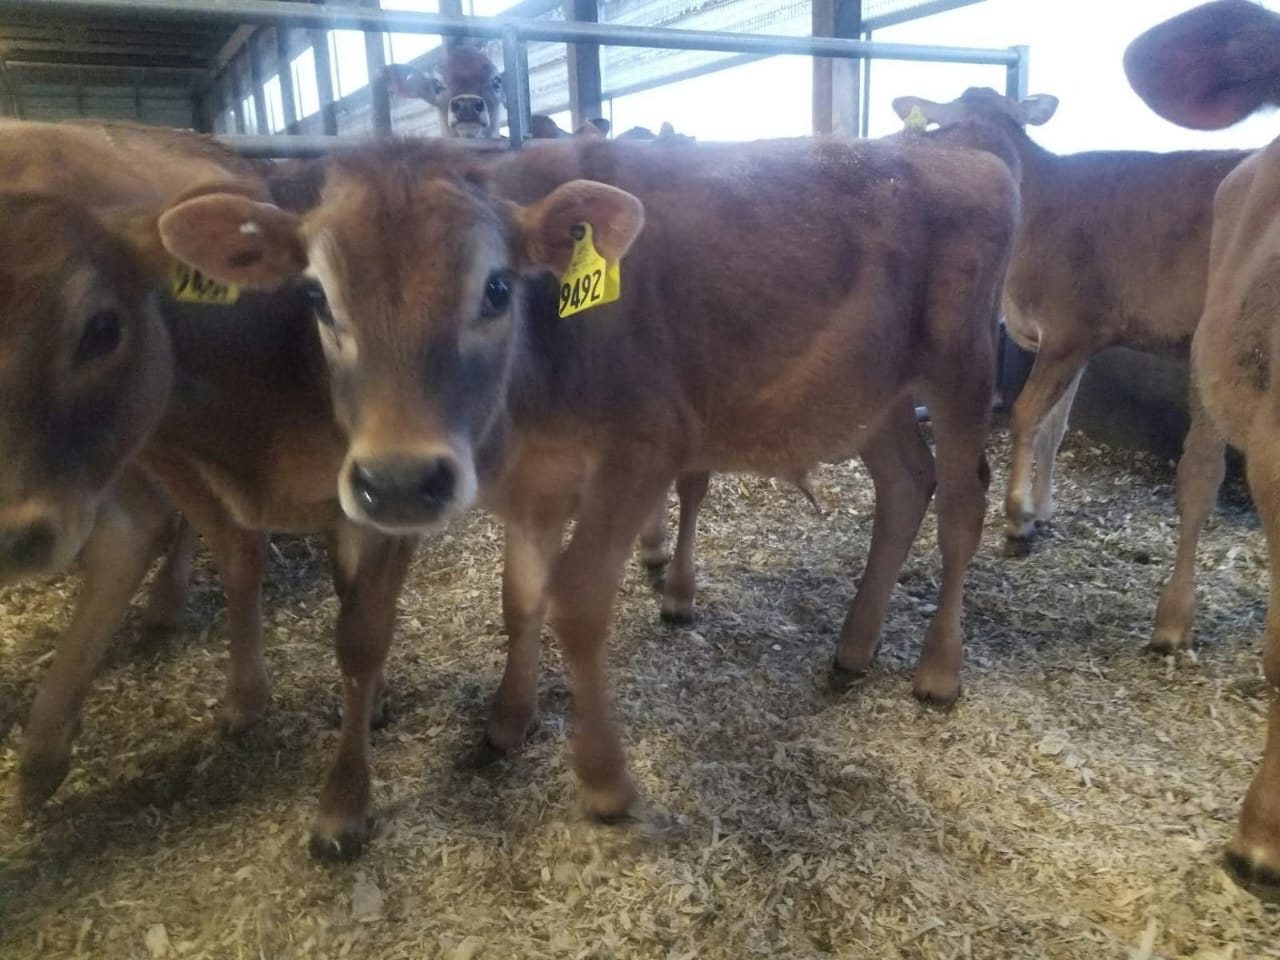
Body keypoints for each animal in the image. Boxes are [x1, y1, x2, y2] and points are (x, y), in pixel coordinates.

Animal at [0, 120, 428, 860]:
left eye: (101, 328)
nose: (12, 537)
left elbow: (361, 632)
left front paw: (344, 801)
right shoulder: (165, 446)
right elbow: (234, 557)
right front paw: (244, 697)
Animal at [157, 134, 1018, 821]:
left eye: (497, 288)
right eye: (315, 296)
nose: (398, 483)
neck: (532, 386)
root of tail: (963, 153)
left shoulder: (645, 449)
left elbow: (573, 600)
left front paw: (603, 779)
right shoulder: (531, 482)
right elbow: (520, 598)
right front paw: (508, 719)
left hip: (962, 365)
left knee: (962, 507)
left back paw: (938, 669)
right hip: (877, 391)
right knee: (906, 485)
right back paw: (854, 647)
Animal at [892, 88, 1246, 572]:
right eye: (950, 124)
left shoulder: (1069, 329)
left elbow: (1026, 415)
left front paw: (1018, 520)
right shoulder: (1078, 341)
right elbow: (1053, 427)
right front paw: (1041, 511)